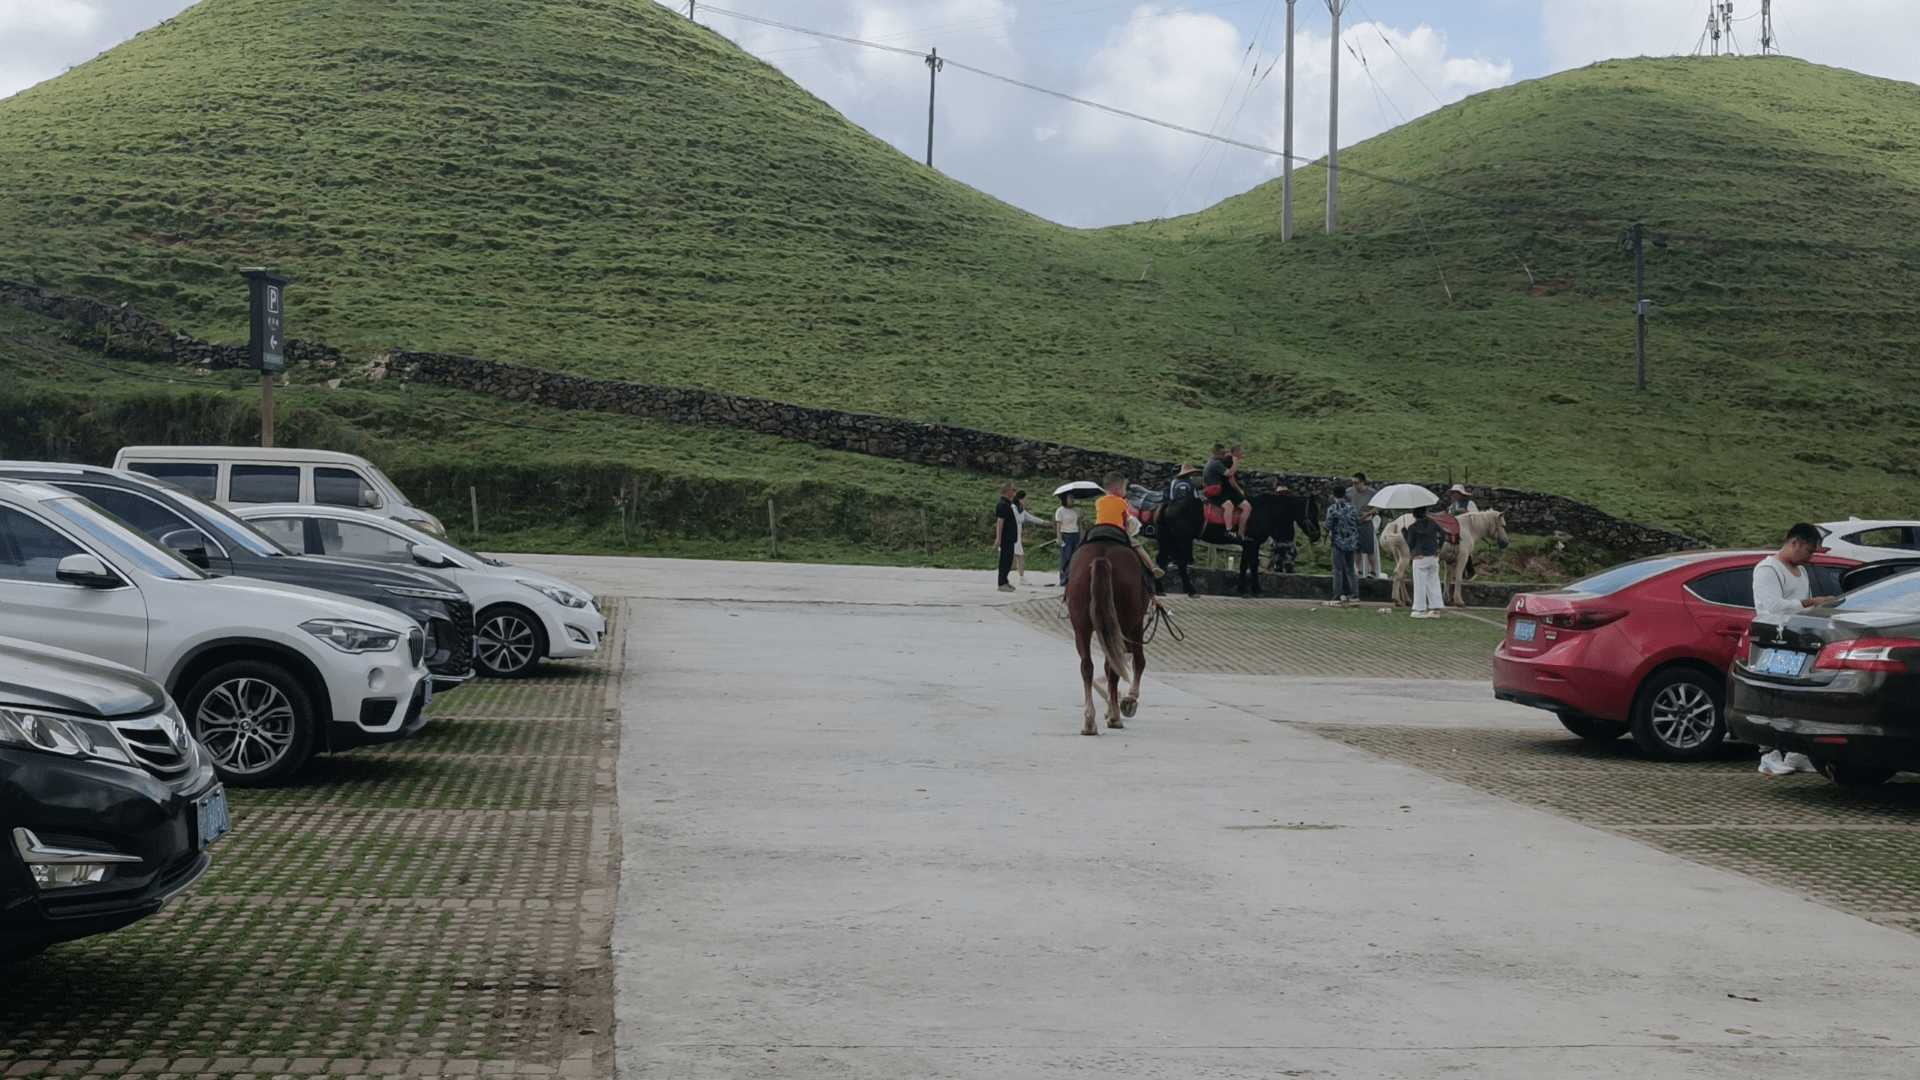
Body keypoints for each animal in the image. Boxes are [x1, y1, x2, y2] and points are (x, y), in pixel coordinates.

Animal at [1152, 490, 1320, 591]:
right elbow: (1252, 566)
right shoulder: (1253, 544)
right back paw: (1190, 590)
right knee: (1180, 562)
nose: (1317, 535)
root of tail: (1168, 503)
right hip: (1182, 539)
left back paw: (1160, 589)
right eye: (1313, 513)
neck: (1264, 510)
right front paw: (1254, 589)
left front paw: (1243, 588)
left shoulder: (1248, 545)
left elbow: (1245, 565)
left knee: (1161, 560)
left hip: (1169, 538)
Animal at [1382, 507, 1512, 607]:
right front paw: (1459, 601)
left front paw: (1448, 600)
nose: (1505, 543)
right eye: (1503, 525)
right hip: (1405, 557)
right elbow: (1458, 578)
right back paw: (1397, 600)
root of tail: (1396, 522)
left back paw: (1407, 600)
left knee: (1401, 577)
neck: (1468, 528)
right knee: (1398, 574)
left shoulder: (1449, 560)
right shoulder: (1463, 557)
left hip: (1400, 557)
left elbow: (1448, 579)